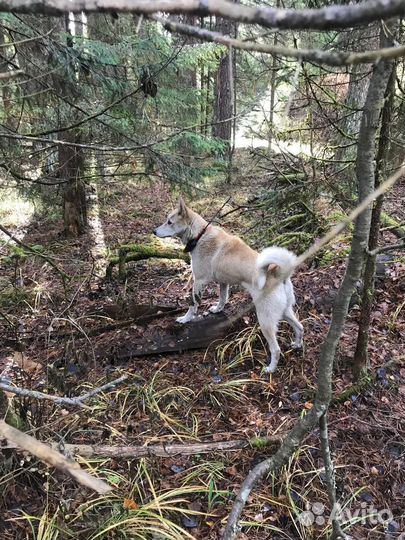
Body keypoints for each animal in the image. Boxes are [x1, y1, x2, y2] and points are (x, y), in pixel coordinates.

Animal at [153, 197, 302, 372]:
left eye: (169, 222)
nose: (154, 232)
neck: (199, 235)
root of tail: (279, 273)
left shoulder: (199, 281)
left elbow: (193, 304)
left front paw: (186, 319)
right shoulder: (223, 282)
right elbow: (222, 298)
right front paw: (217, 310)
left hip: (266, 320)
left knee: (276, 349)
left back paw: (270, 369)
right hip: (285, 311)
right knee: (300, 327)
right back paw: (297, 344)